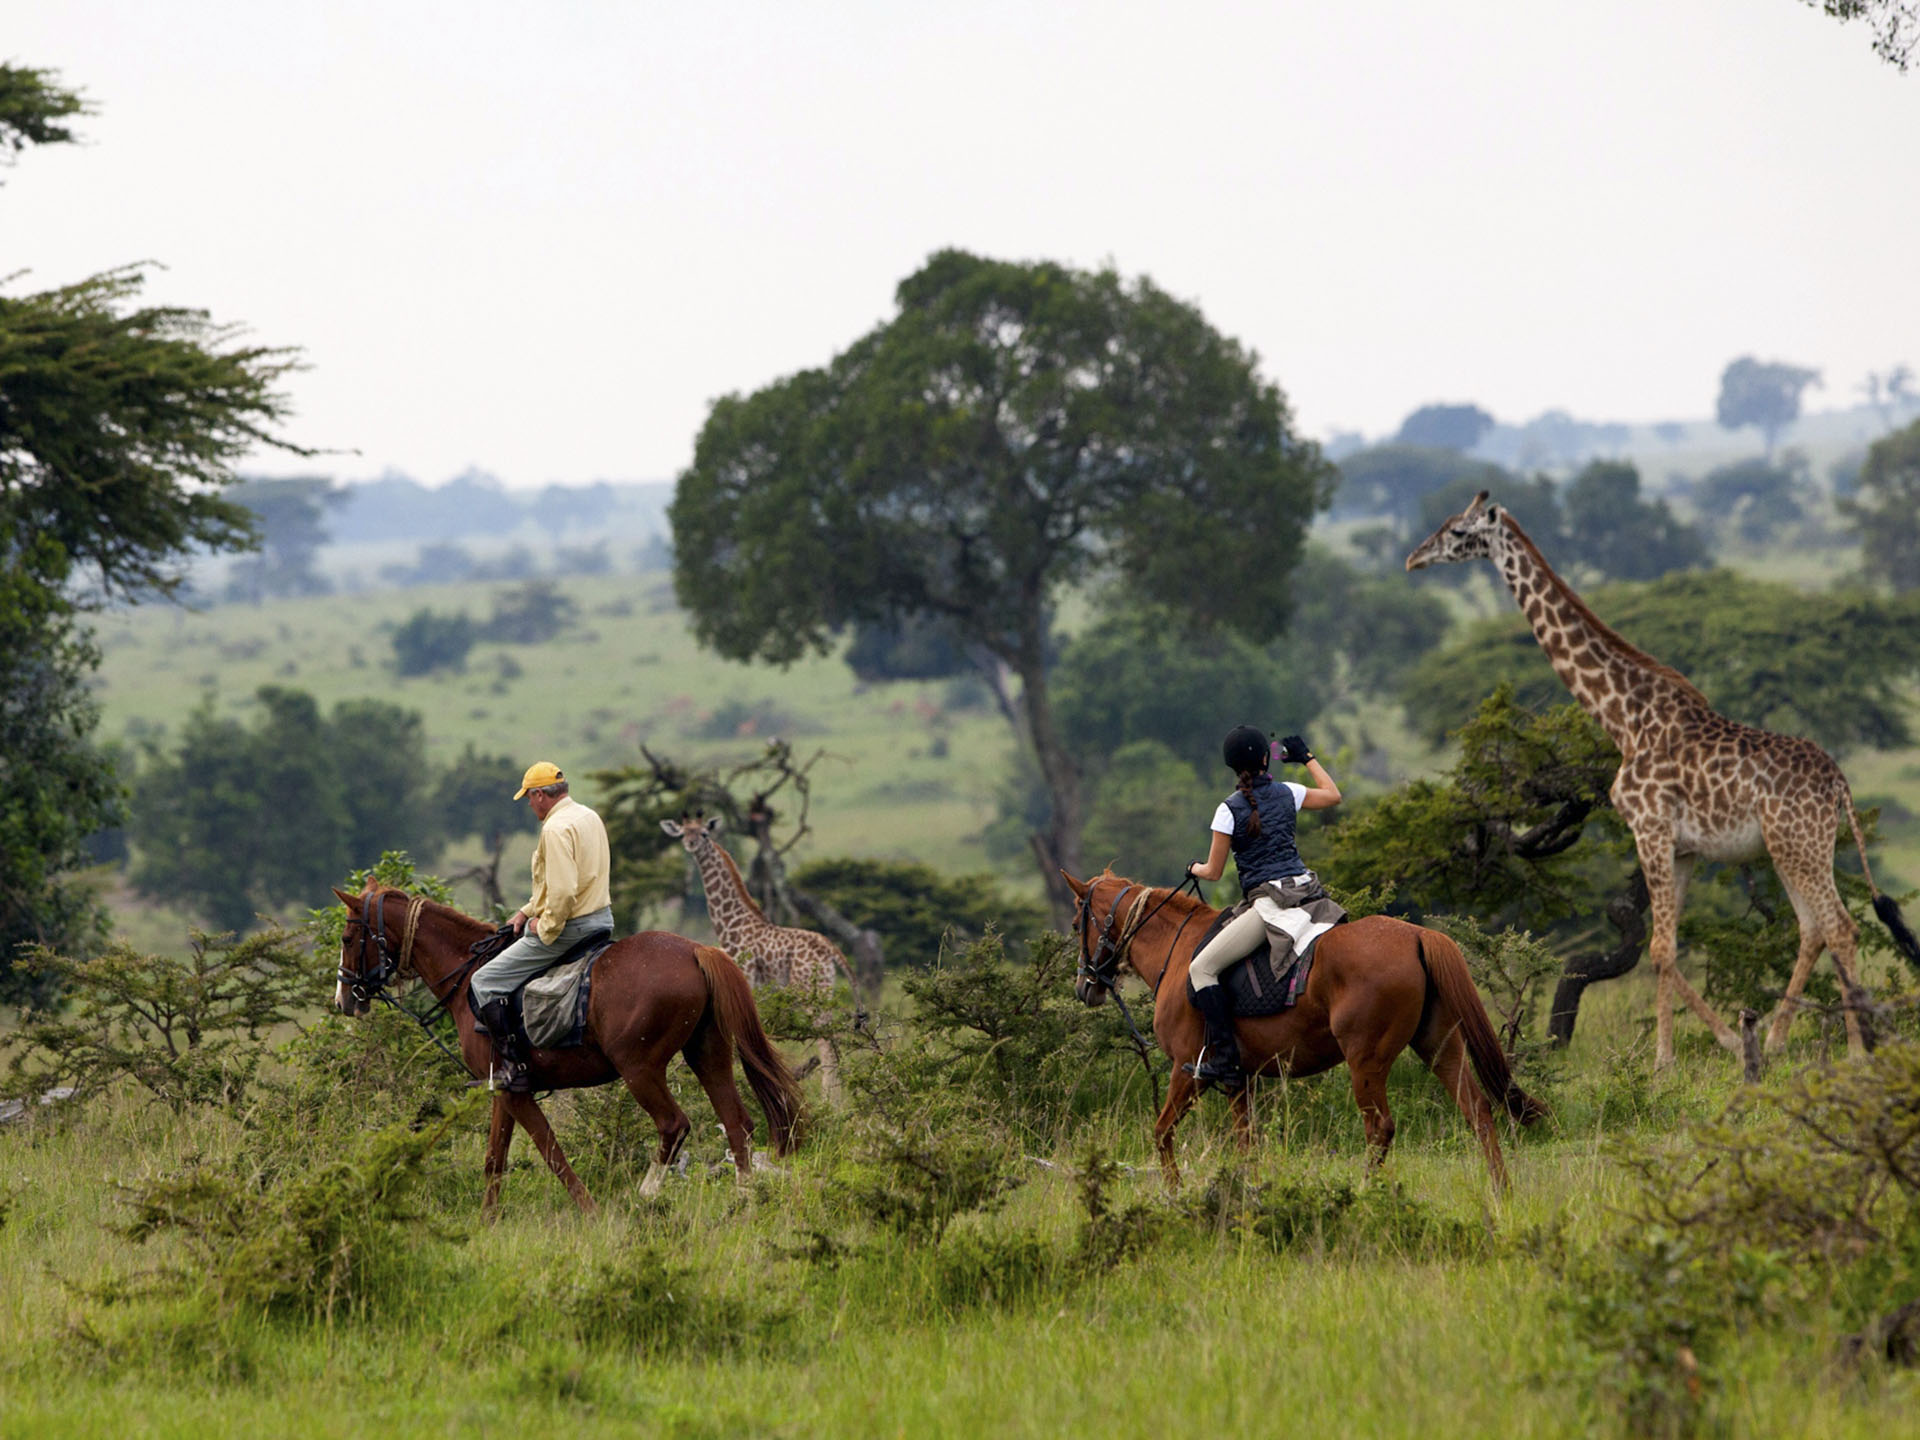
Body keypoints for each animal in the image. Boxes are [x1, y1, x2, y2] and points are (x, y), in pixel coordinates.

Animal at [337, 887, 802, 1213]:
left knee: (674, 1125)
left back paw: (645, 1195)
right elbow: (494, 1158)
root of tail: (695, 949)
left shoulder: (515, 1092)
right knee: (737, 1123)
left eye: (346, 937)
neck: (467, 976)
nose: (343, 1000)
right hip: (707, 1054)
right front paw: (487, 1220)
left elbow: (550, 1151)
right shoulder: (503, 1087)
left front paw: (589, 1210)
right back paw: (744, 1200)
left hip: (640, 1069)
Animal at [660, 821, 856, 1105]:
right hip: (823, 989)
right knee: (833, 1036)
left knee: (826, 1038)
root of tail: (830, 949)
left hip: (808, 991)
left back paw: (829, 1101)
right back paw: (834, 1099)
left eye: (704, 833)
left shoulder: (746, 978)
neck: (733, 921)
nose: (691, 844)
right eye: (684, 832)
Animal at [1067, 867, 1543, 1198]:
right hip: (1439, 1047)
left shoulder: (1189, 1071)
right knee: (1478, 1111)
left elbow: (1162, 1131)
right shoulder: (1239, 1080)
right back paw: (1502, 1193)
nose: (1085, 987)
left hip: (1366, 1062)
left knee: (1380, 1129)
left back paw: (1365, 1196)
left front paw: (1174, 1194)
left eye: (1076, 926)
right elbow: (1246, 1142)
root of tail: (1417, 935)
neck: (1178, 951)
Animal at [1397, 495, 1920, 1075]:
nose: (1414, 559)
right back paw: (1780, 1039)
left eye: (1457, 532)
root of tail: (1840, 783)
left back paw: (1854, 1050)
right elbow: (1664, 945)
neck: (1623, 717)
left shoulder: (1648, 828)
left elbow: (1660, 949)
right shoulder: (1683, 847)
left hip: (1798, 843)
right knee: (1813, 929)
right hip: (1798, 847)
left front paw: (1669, 1059)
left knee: (1840, 927)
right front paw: (1713, 1044)